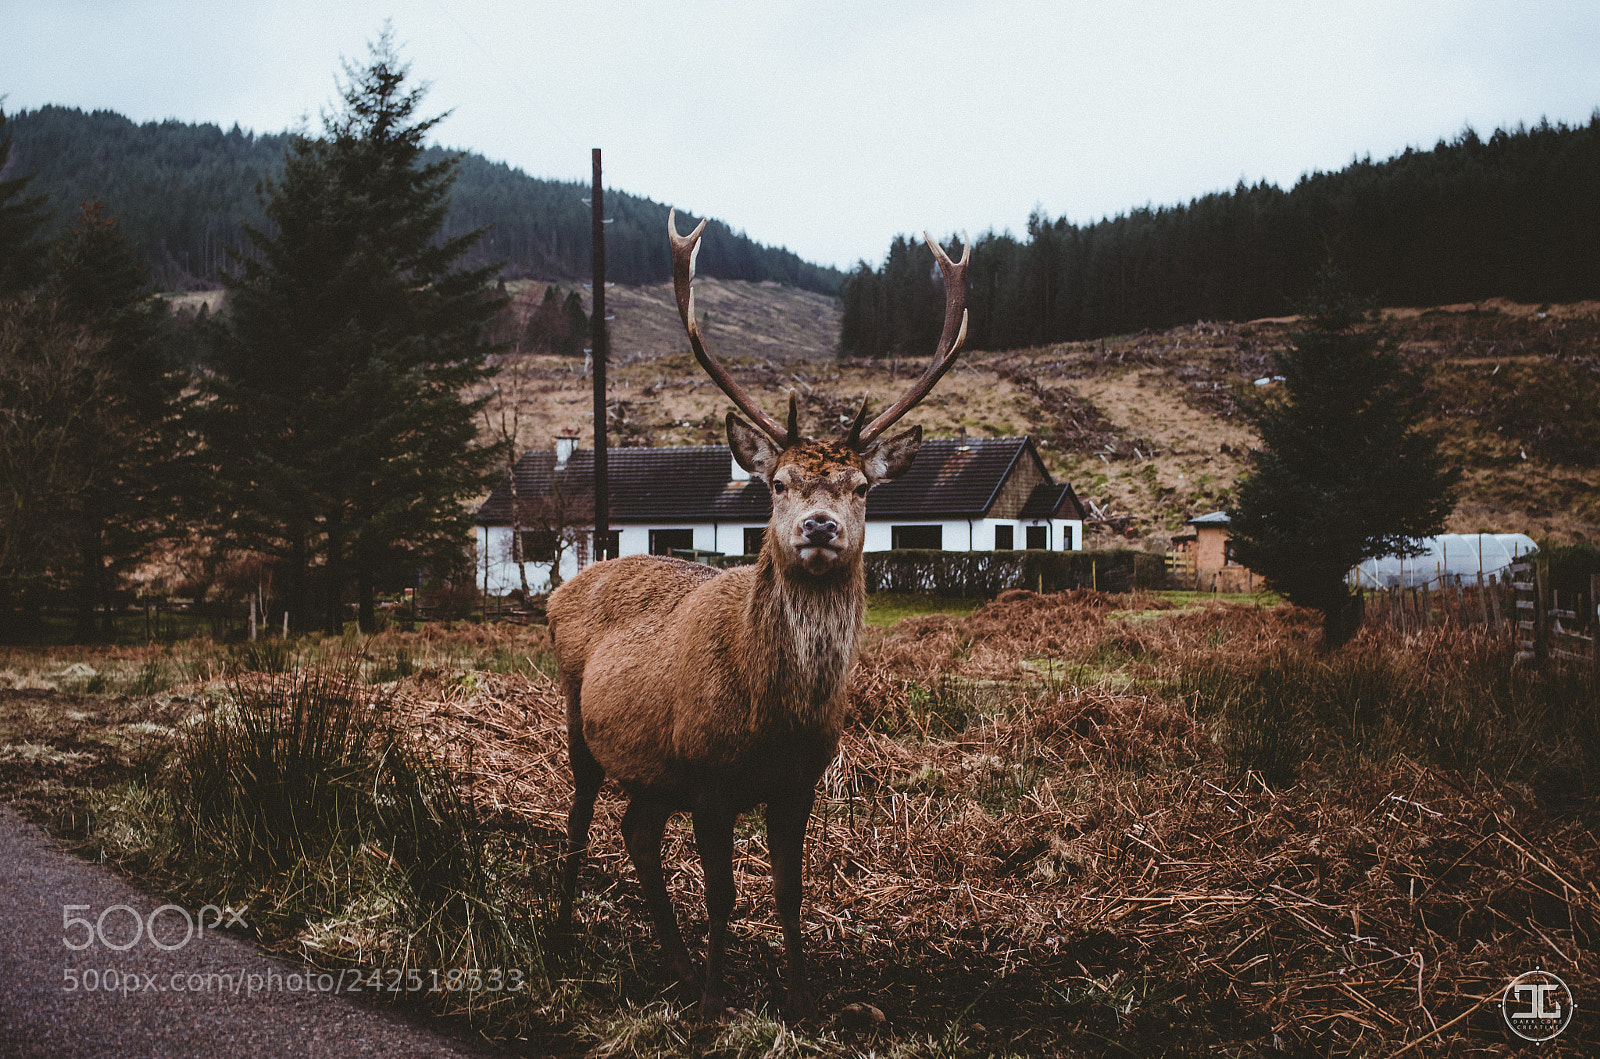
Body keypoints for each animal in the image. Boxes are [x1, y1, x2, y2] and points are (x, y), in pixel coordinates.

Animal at [545, 209, 969, 1019]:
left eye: (861, 487)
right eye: (778, 483)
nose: (819, 527)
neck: (773, 717)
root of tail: (557, 593)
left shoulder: (797, 785)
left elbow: (790, 893)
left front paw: (800, 1001)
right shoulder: (709, 781)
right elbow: (721, 894)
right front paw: (716, 1007)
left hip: (653, 770)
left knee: (635, 832)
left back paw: (675, 965)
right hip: (582, 725)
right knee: (580, 821)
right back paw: (563, 943)